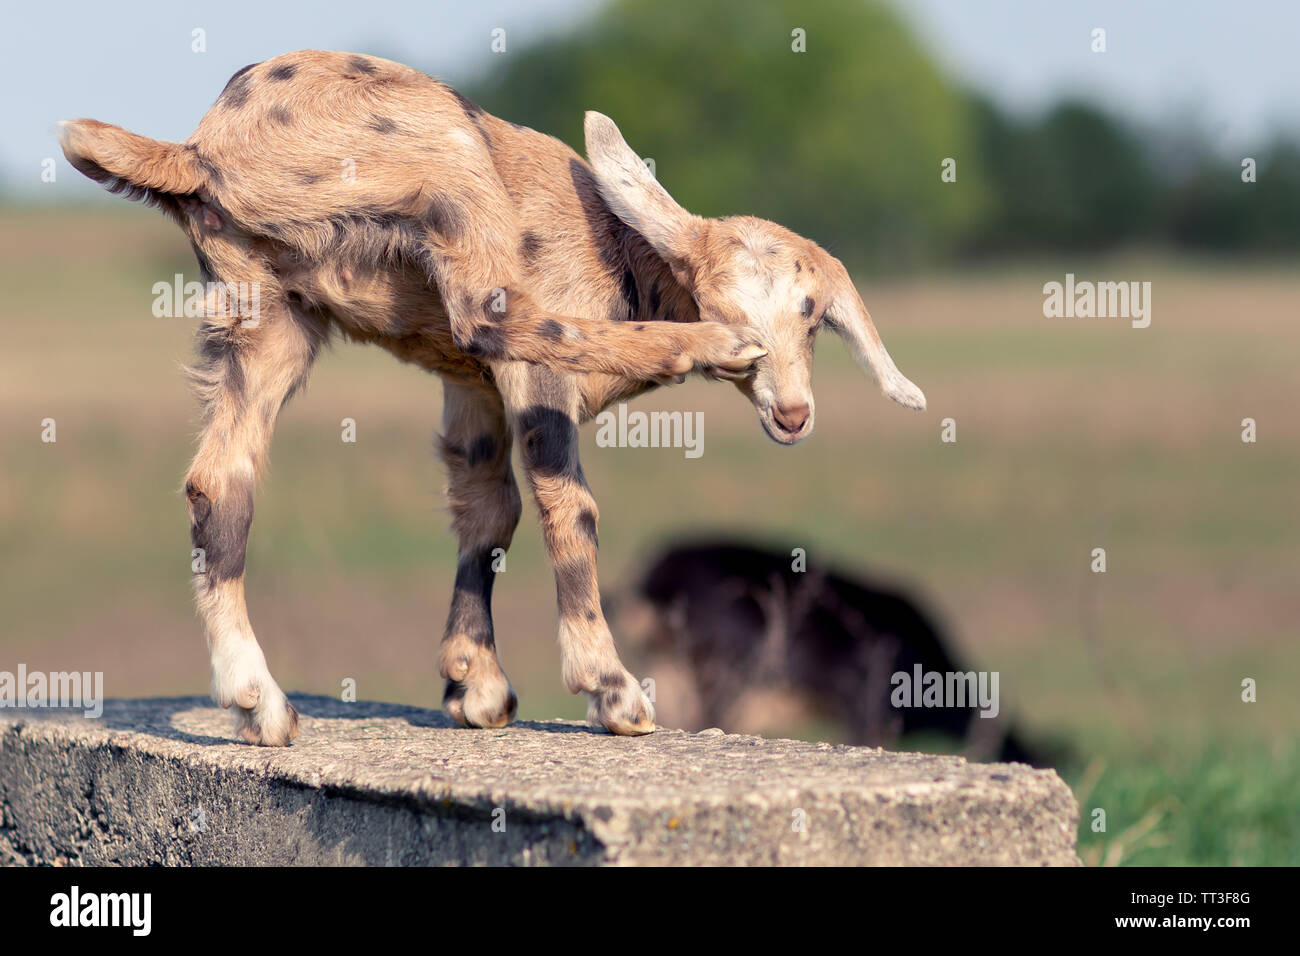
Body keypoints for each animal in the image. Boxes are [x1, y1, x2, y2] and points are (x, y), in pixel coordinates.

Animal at [61, 48, 930, 743]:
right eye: (714, 297)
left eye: (813, 314)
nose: (792, 413)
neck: (624, 259)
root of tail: (202, 151)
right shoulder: (528, 382)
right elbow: (563, 503)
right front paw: (605, 692)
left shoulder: (468, 392)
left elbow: (487, 508)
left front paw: (472, 681)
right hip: (443, 166)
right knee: (491, 313)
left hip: (265, 310)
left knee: (220, 485)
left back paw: (257, 702)